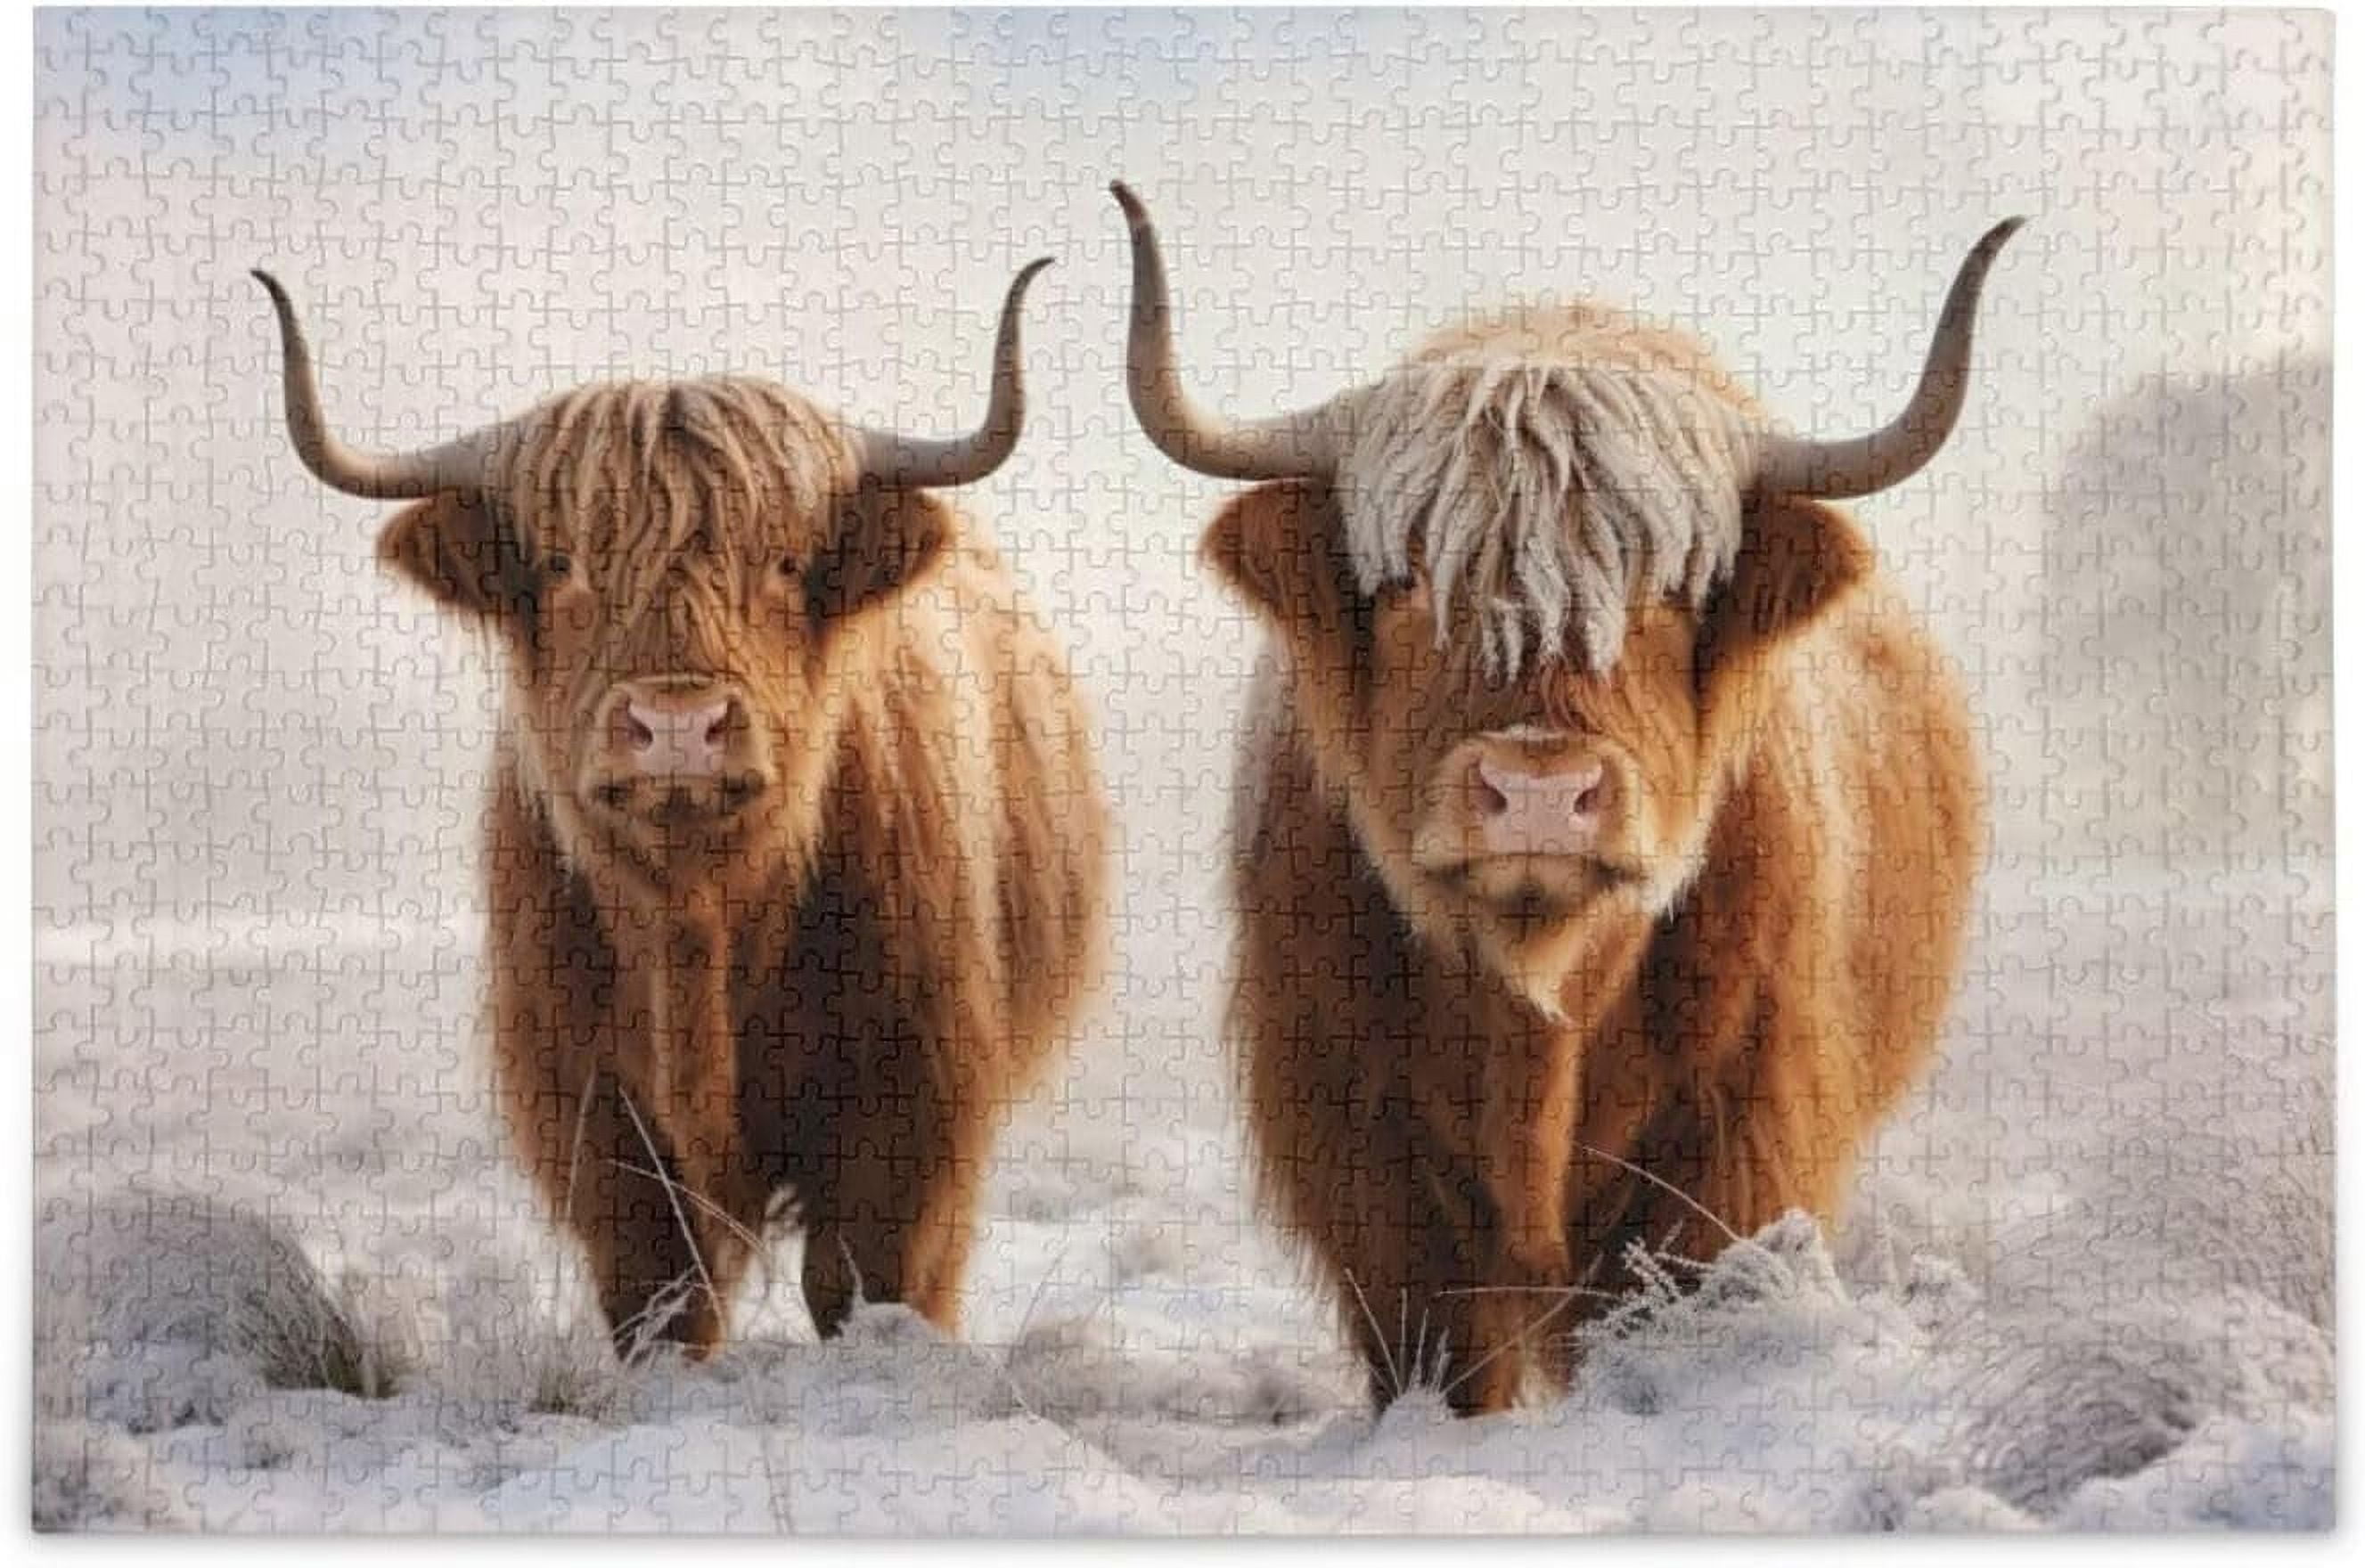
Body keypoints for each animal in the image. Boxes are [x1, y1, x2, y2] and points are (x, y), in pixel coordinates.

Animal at [254, 262, 1109, 1358]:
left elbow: (868, 1277)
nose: (676, 722)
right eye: (564, 565)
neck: (699, 918)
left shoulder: (916, 1094)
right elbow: (658, 1287)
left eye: (784, 562)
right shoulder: (590, 1105)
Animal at [1112, 182, 2010, 1414]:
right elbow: (1438, 1346)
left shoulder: (1737, 1133)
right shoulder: (1358, 1143)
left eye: (1671, 588)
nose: (1538, 789)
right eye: (1404, 583)